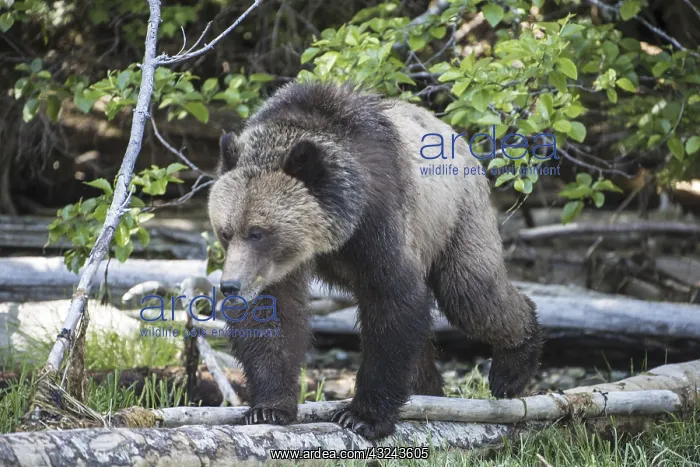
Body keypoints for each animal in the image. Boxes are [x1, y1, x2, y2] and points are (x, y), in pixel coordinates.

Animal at [207, 81, 542, 440]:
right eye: (226, 232)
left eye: (258, 232)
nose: (231, 286)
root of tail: (455, 134)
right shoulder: (278, 268)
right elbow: (274, 314)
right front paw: (268, 407)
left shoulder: (379, 222)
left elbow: (391, 301)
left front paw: (362, 416)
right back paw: (429, 389)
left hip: (457, 216)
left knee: (471, 295)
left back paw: (512, 367)